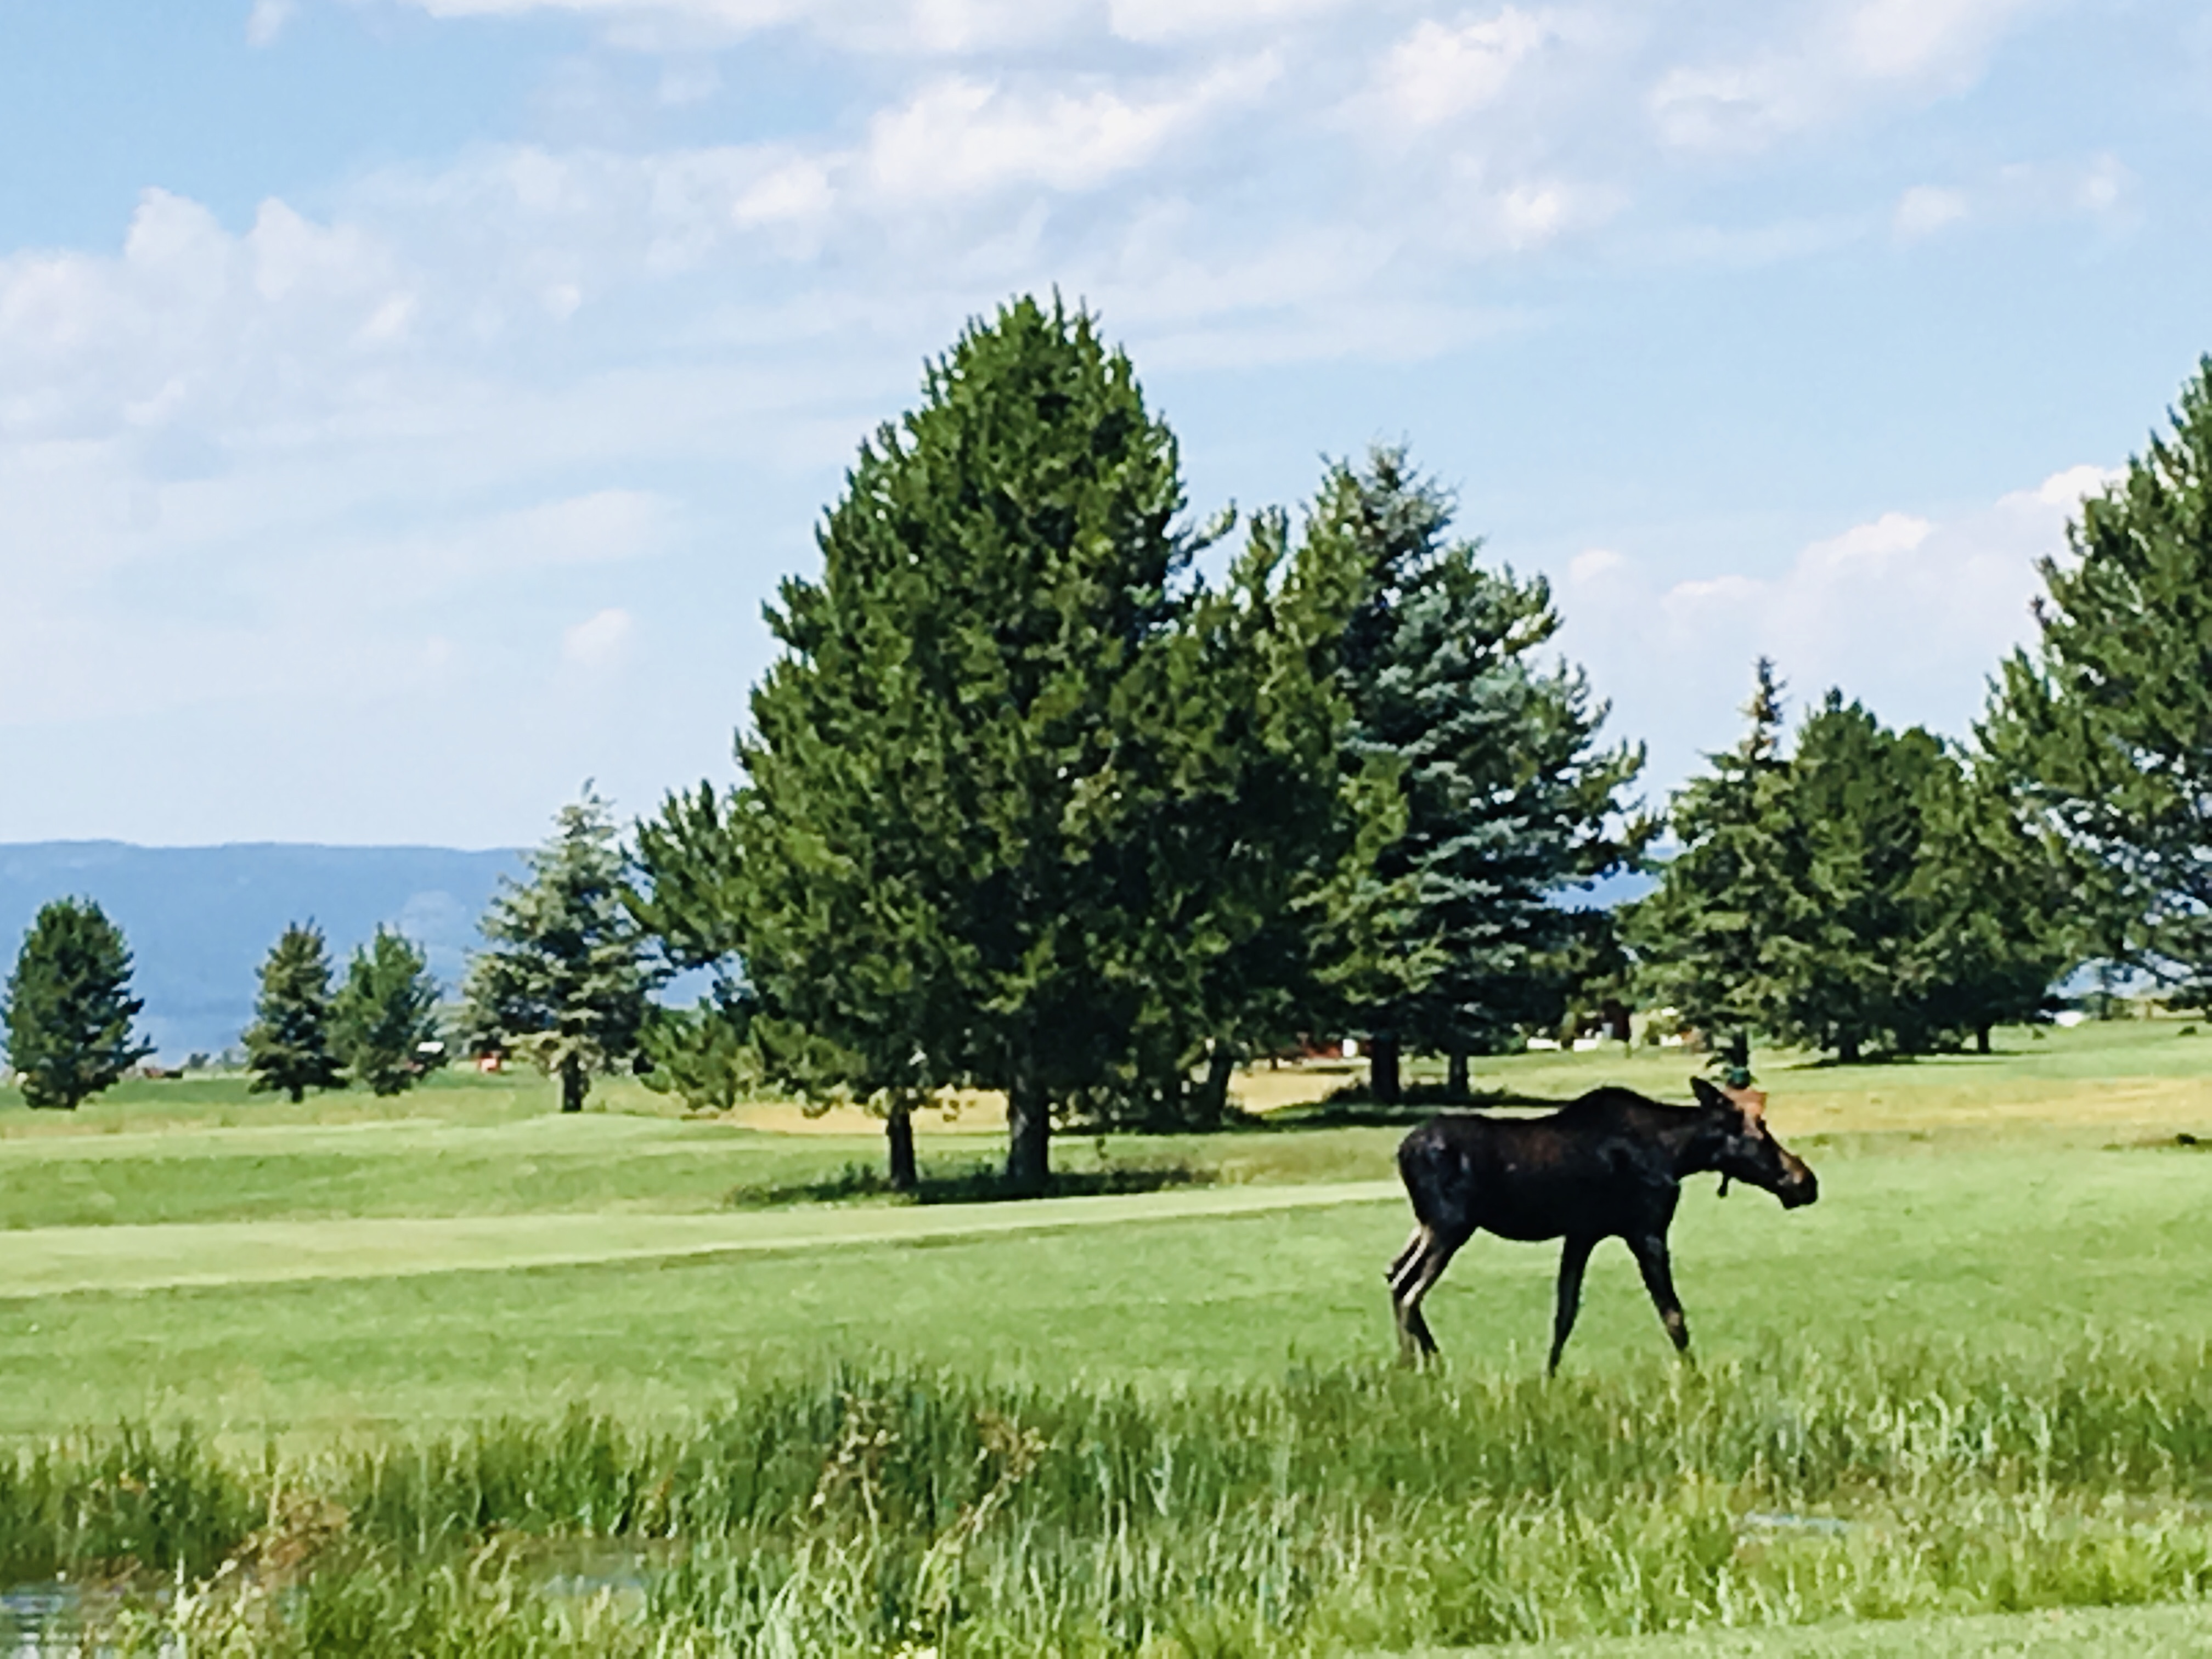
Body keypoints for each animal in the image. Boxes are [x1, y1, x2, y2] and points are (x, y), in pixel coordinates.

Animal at [1380, 1079, 1814, 1380]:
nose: (1805, 1181)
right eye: (1761, 1130)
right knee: (1408, 1289)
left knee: (1394, 1273)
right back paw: (1412, 1366)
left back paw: (1429, 1363)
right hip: (1450, 1226)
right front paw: (1696, 1378)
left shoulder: (1582, 1233)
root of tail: (1401, 1152)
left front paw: (1549, 1378)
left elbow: (1565, 1312)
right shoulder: (1646, 1230)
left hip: (1426, 1225)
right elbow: (1672, 1313)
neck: (1680, 1155)